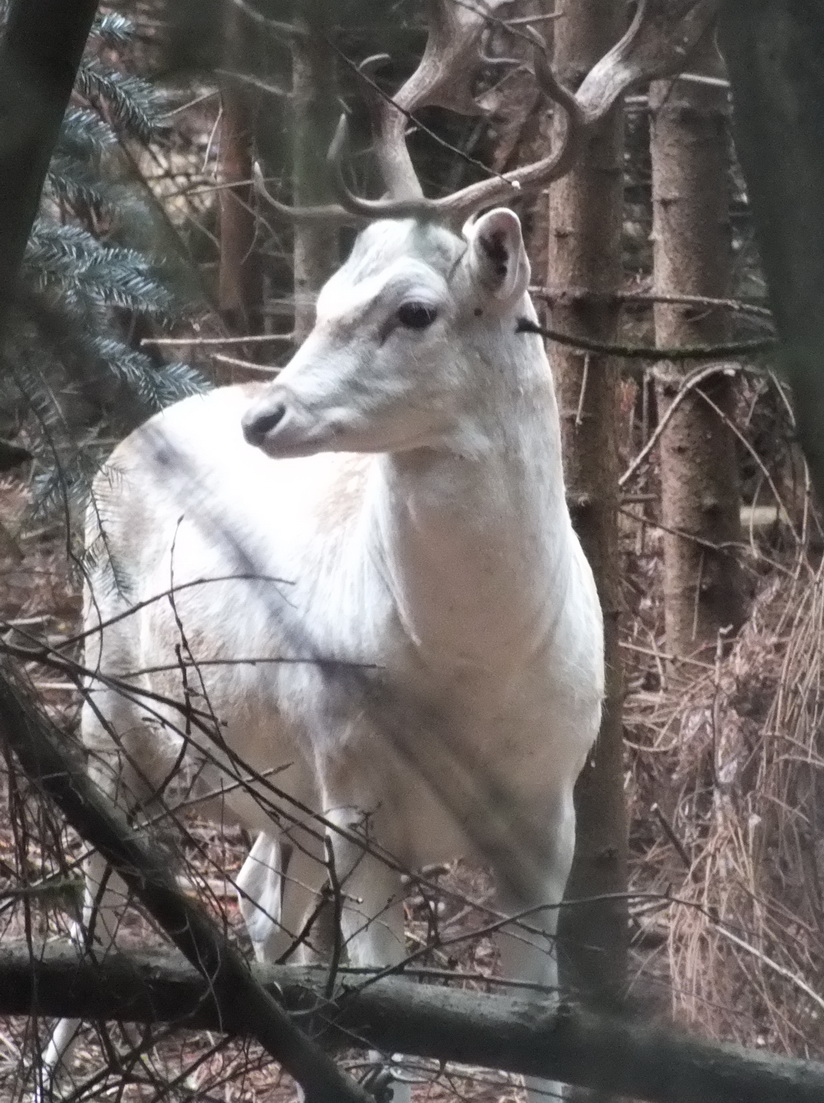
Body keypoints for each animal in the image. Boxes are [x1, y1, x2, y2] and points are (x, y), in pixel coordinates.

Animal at [38, 4, 697, 1098]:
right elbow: (394, 1017)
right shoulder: (355, 789)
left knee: (261, 897)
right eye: (327, 297)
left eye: (413, 309)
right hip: (111, 690)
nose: (265, 414)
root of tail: (131, 438)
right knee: (99, 883)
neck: (470, 669)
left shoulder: (546, 808)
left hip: (274, 781)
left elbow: (536, 1029)